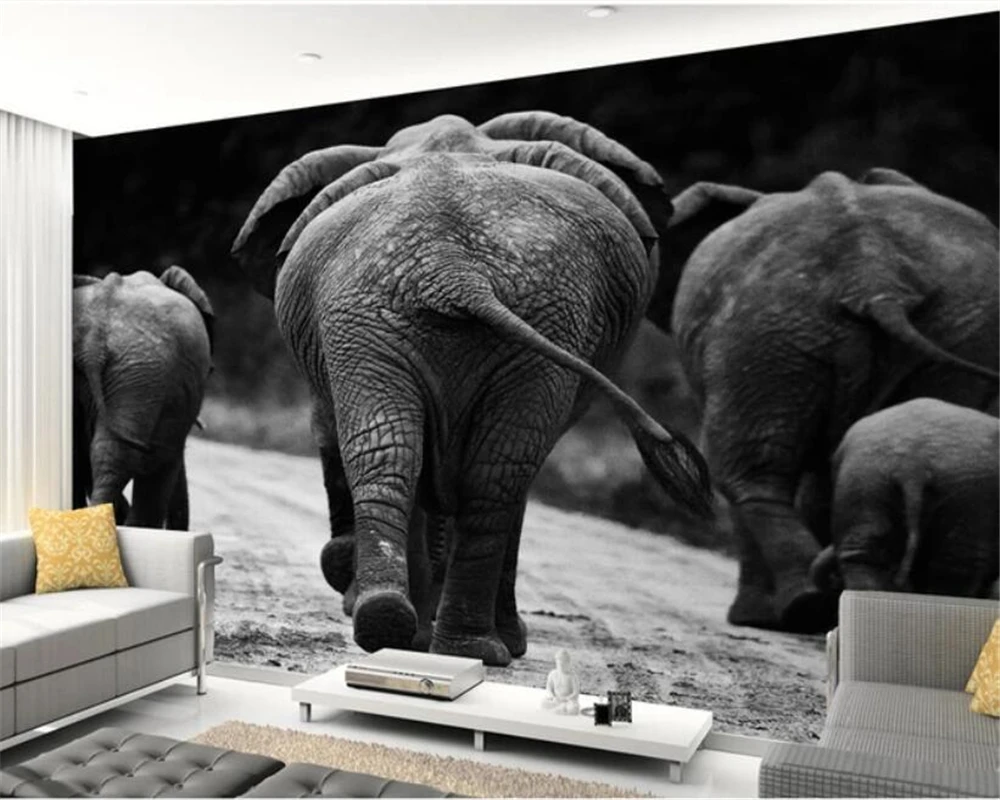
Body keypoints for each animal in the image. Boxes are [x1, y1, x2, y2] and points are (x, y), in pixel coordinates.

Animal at [232, 111, 712, 666]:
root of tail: (451, 268)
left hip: (392, 318)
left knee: (399, 454)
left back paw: (403, 630)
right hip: (442, 317)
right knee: (489, 474)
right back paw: (464, 646)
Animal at [810, 398, 999, 598]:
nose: (831, 582)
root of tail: (911, 465)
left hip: (862, 479)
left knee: (863, 559)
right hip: (967, 494)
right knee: (954, 570)